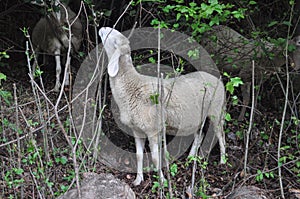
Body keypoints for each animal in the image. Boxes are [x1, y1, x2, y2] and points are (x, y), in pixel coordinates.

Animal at [99, 27, 226, 186]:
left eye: (114, 39)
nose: (102, 28)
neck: (132, 85)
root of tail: (218, 79)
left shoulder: (153, 130)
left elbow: (155, 157)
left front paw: (162, 180)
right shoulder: (137, 129)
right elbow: (139, 155)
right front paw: (138, 180)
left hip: (216, 110)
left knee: (220, 135)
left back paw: (223, 161)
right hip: (196, 117)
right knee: (199, 135)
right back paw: (190, 159)